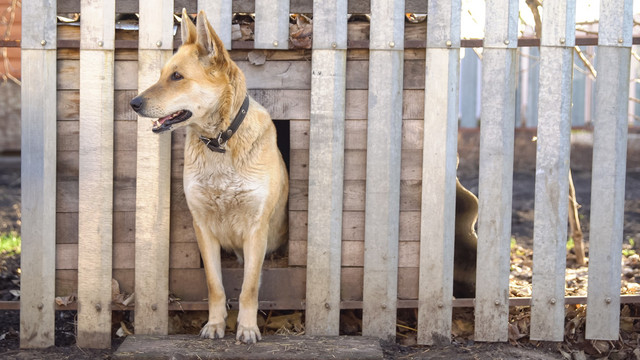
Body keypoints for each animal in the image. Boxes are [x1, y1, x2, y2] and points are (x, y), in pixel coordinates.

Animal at [129, 10, 288, 344]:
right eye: (162, 74)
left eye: (177, 77)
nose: (133, 103)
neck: (220, 142)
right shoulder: (202, 227)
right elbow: (215, 285)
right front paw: (215, 324)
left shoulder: (256, 230)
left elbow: (248, 288)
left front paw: (247, 327)